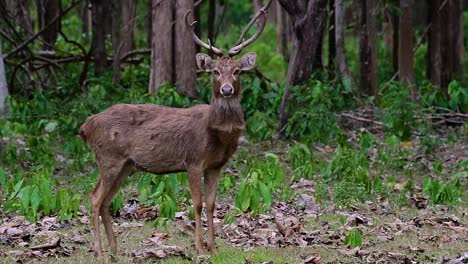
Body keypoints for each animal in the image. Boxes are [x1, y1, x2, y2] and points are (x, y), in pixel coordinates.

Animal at [80, 2, 268, 258]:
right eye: (215, 71)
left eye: (237, 71)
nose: (227, 89)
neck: (218, 134)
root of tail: (86, 126)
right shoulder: (193, 160)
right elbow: (197, 204)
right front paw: (200, 247)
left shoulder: (216, 166)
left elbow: (212, 204)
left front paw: (214, 246)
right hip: (108, 157)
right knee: (95, 198)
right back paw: (99, 251)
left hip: (125, 165)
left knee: (106, 200)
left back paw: (115, 249)